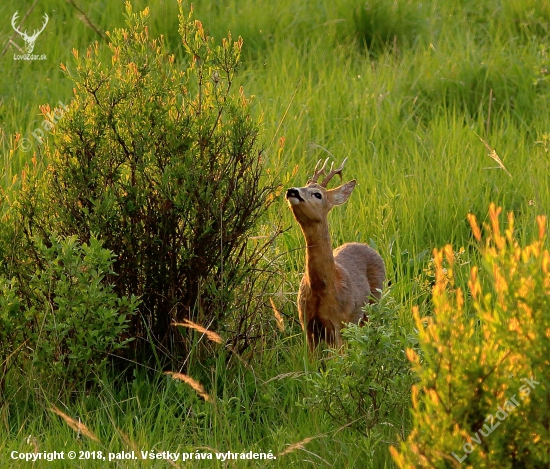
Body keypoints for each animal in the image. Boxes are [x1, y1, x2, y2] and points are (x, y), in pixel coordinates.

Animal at [286, 157, 386, 348]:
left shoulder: (339, 324)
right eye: (304, 185)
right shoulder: (307, 324)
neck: (321, 290)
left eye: (318, 194)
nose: (292, 190)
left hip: (374, 303)